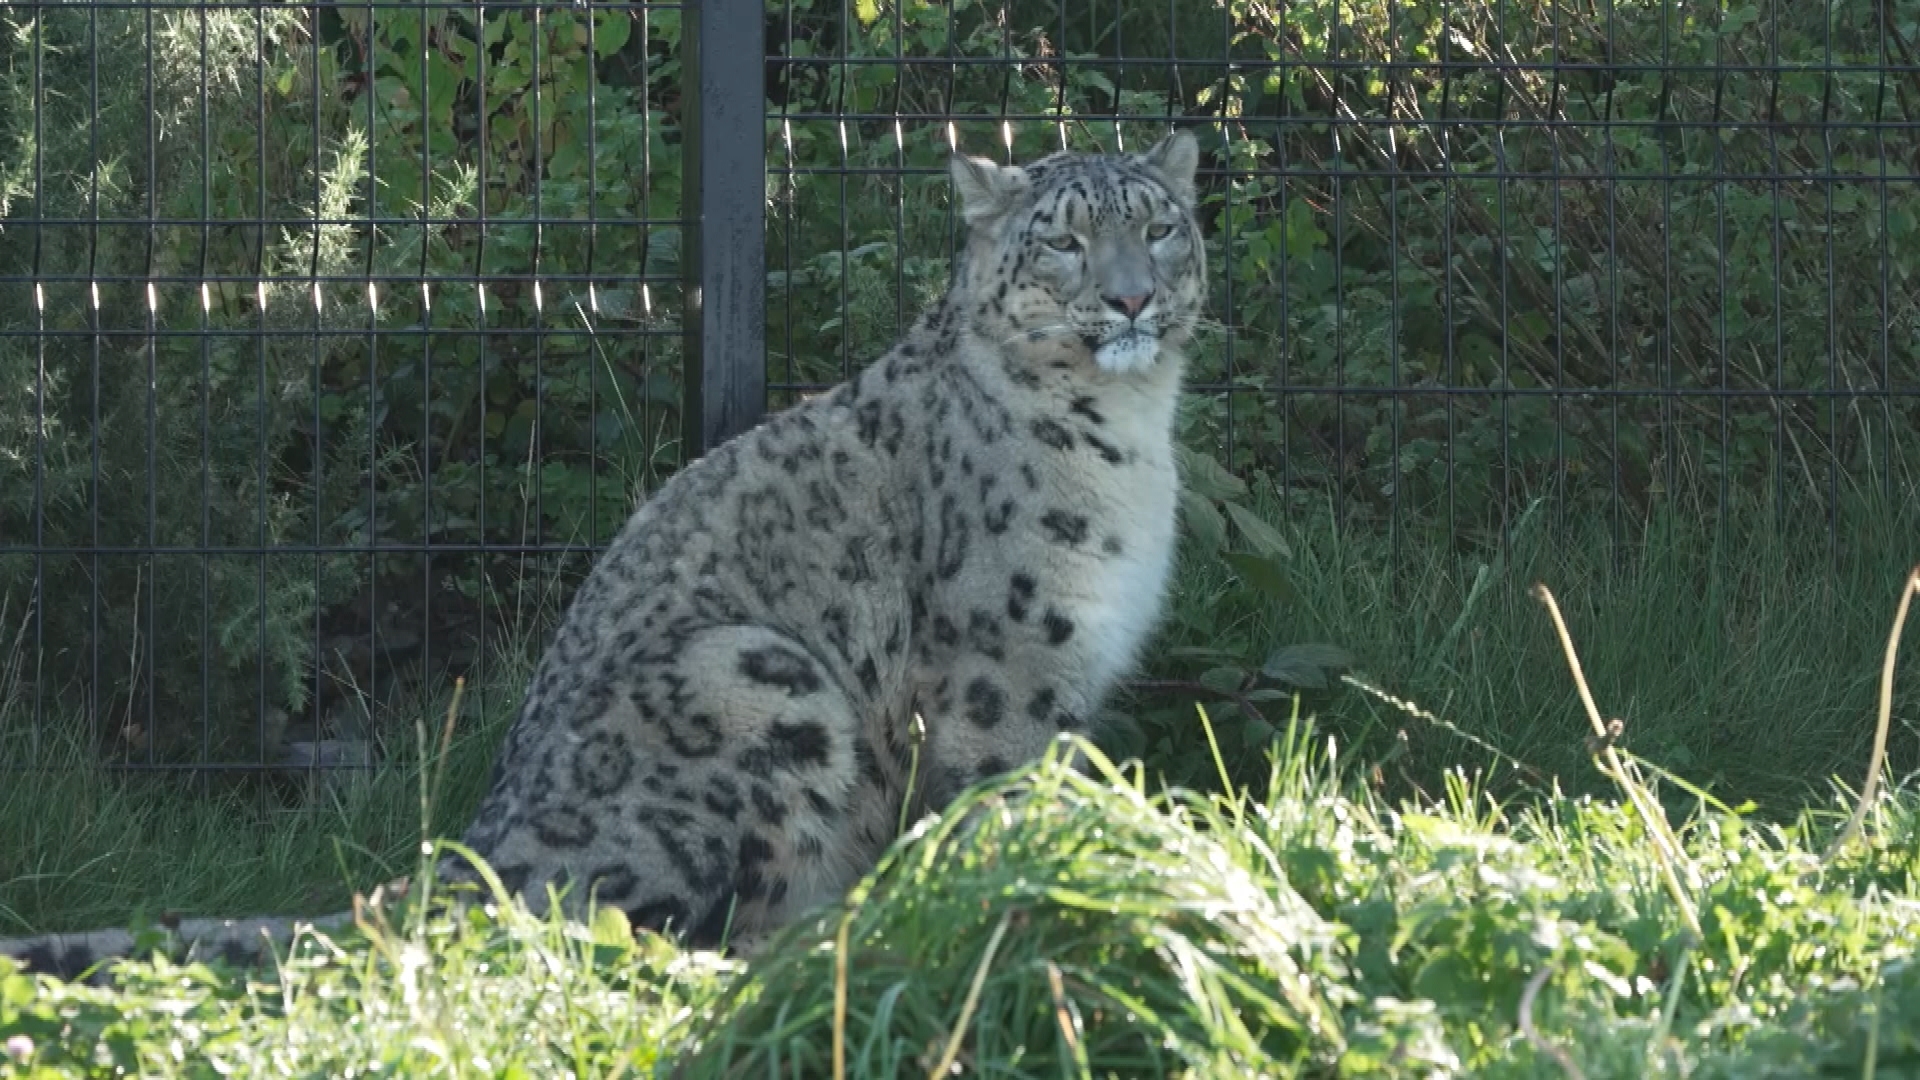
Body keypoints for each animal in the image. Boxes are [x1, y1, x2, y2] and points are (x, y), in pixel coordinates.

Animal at [1, 132, 1208, 980]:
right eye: (1062, 240)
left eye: (1160, 228)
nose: (1131, 297)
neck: (1135, 437)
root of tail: (478, 854)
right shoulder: (1002, 664)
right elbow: (999, 798)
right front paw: (1024, 894)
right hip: (759, 677)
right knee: (636, 931)